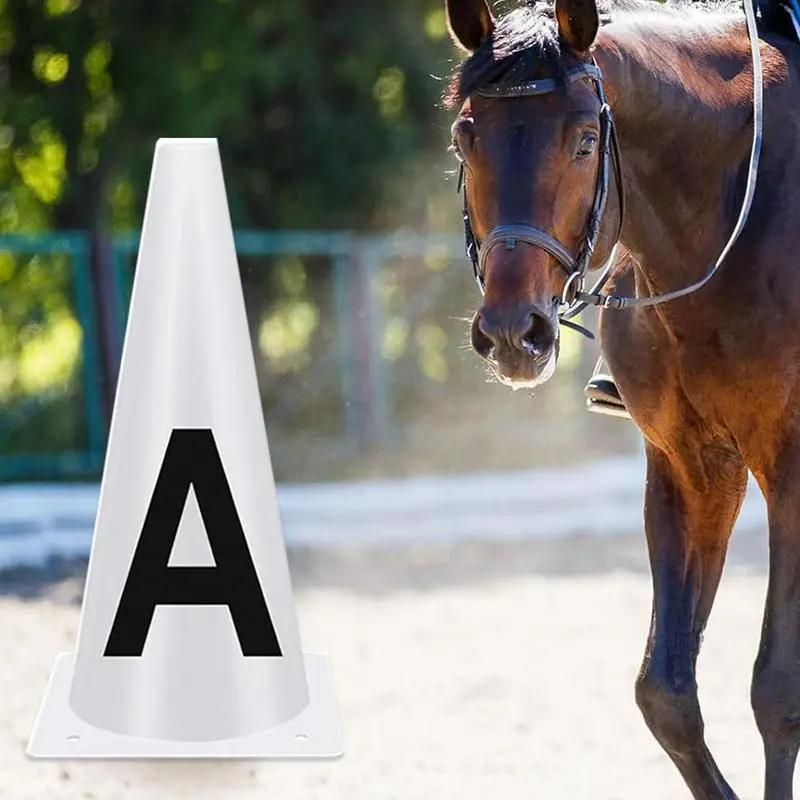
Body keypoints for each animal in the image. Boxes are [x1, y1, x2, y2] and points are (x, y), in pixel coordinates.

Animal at [442, 0, 800, 796]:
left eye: (583, 142)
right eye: (465, 138)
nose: (514, 332)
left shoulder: (794, 468)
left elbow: (777, 691)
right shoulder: (688, 465)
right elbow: (665, 694)